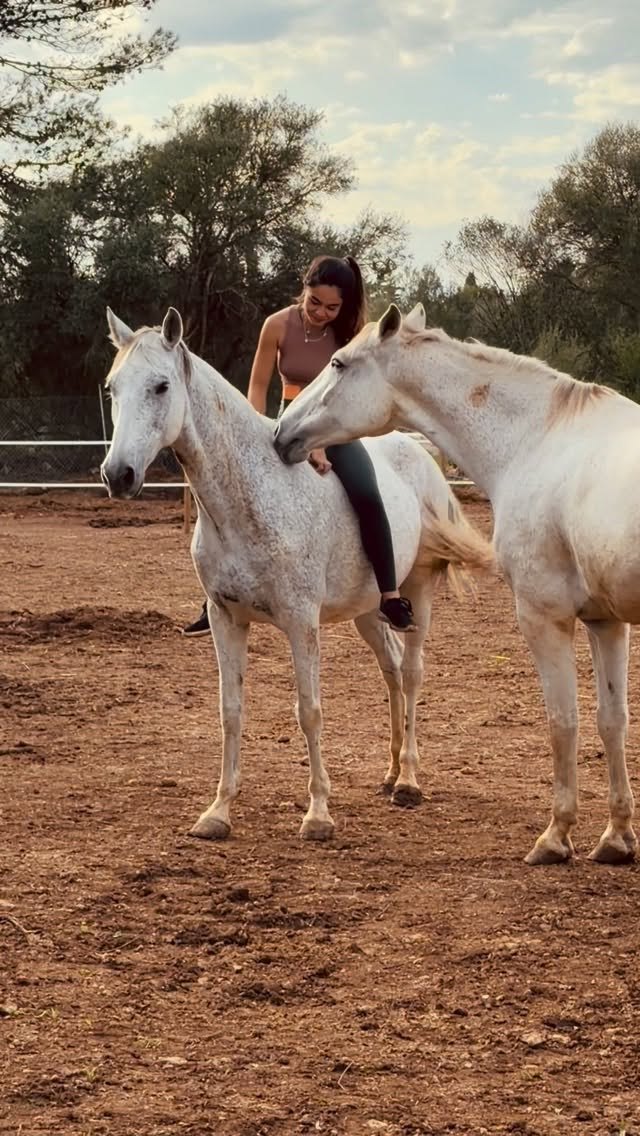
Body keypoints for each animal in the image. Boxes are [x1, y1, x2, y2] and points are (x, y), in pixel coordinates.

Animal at [100, 305, 493, 842]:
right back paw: (390, 772)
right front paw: (218, 811)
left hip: (418, 594)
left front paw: (318, 814)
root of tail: (418, 452)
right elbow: (230, 712)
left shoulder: (300, 623)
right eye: (112, 388)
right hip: (369, 610)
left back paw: (409, 780)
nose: (117, 475)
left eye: (161, 386)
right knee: (391, 669)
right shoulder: (225, 619)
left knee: (412, 674)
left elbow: (309, 711)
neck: (249, 493)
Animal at [274, 303, 640, 866]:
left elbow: (563, 722)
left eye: (337, 362)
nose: (281, 432)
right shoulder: (605, 622)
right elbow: (611, 721)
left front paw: (555, 836)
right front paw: (616, 837)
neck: (536, 442)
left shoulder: (545, 619)